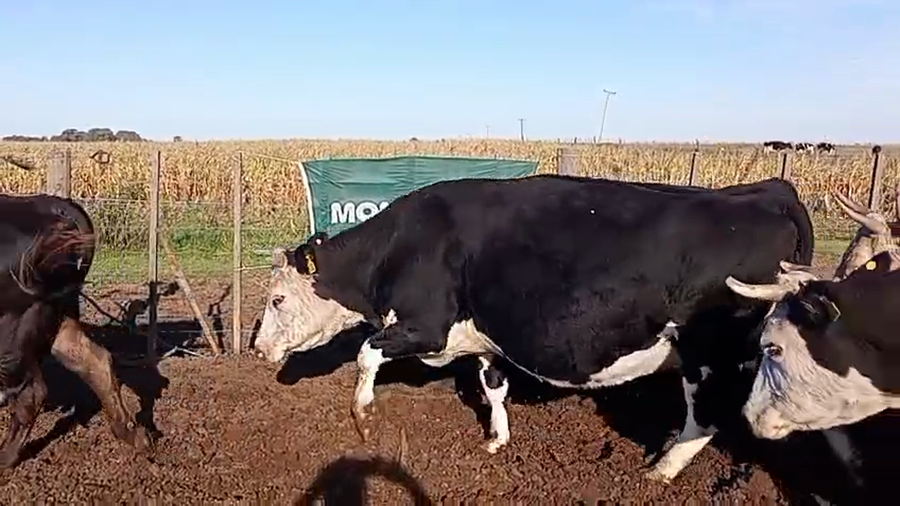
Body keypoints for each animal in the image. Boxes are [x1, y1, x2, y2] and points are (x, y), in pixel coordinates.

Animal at [0, 193, 151, 468]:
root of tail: (50, 204)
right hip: (61, 311)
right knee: (95, 361)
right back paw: (134, 434)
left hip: (14, 326)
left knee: (30, 393)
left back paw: (3, 459)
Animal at [253, 174, 815, 483]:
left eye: (277, 299)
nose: (258, 350)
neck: (402, 245)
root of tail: (768, 191)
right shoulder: (483, 340)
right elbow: (492, 385)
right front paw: (497, 439)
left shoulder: (424, 327)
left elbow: (367, 353)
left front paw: (364, 415)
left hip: (705, 351)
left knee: (707, 417)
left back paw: (662, 469)